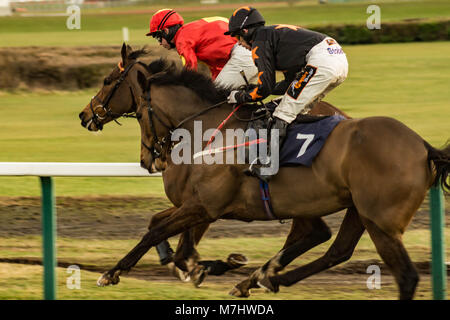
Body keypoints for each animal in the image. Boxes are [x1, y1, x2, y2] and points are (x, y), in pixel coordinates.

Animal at [77, 43, 352, 286]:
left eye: (107, 81)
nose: (84, 114)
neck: (204, 128)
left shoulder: (204, 205)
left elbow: (161, 236)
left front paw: (111, 273)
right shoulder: (191, 203)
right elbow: (161, 228)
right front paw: (193, 264)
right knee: (317, 234)